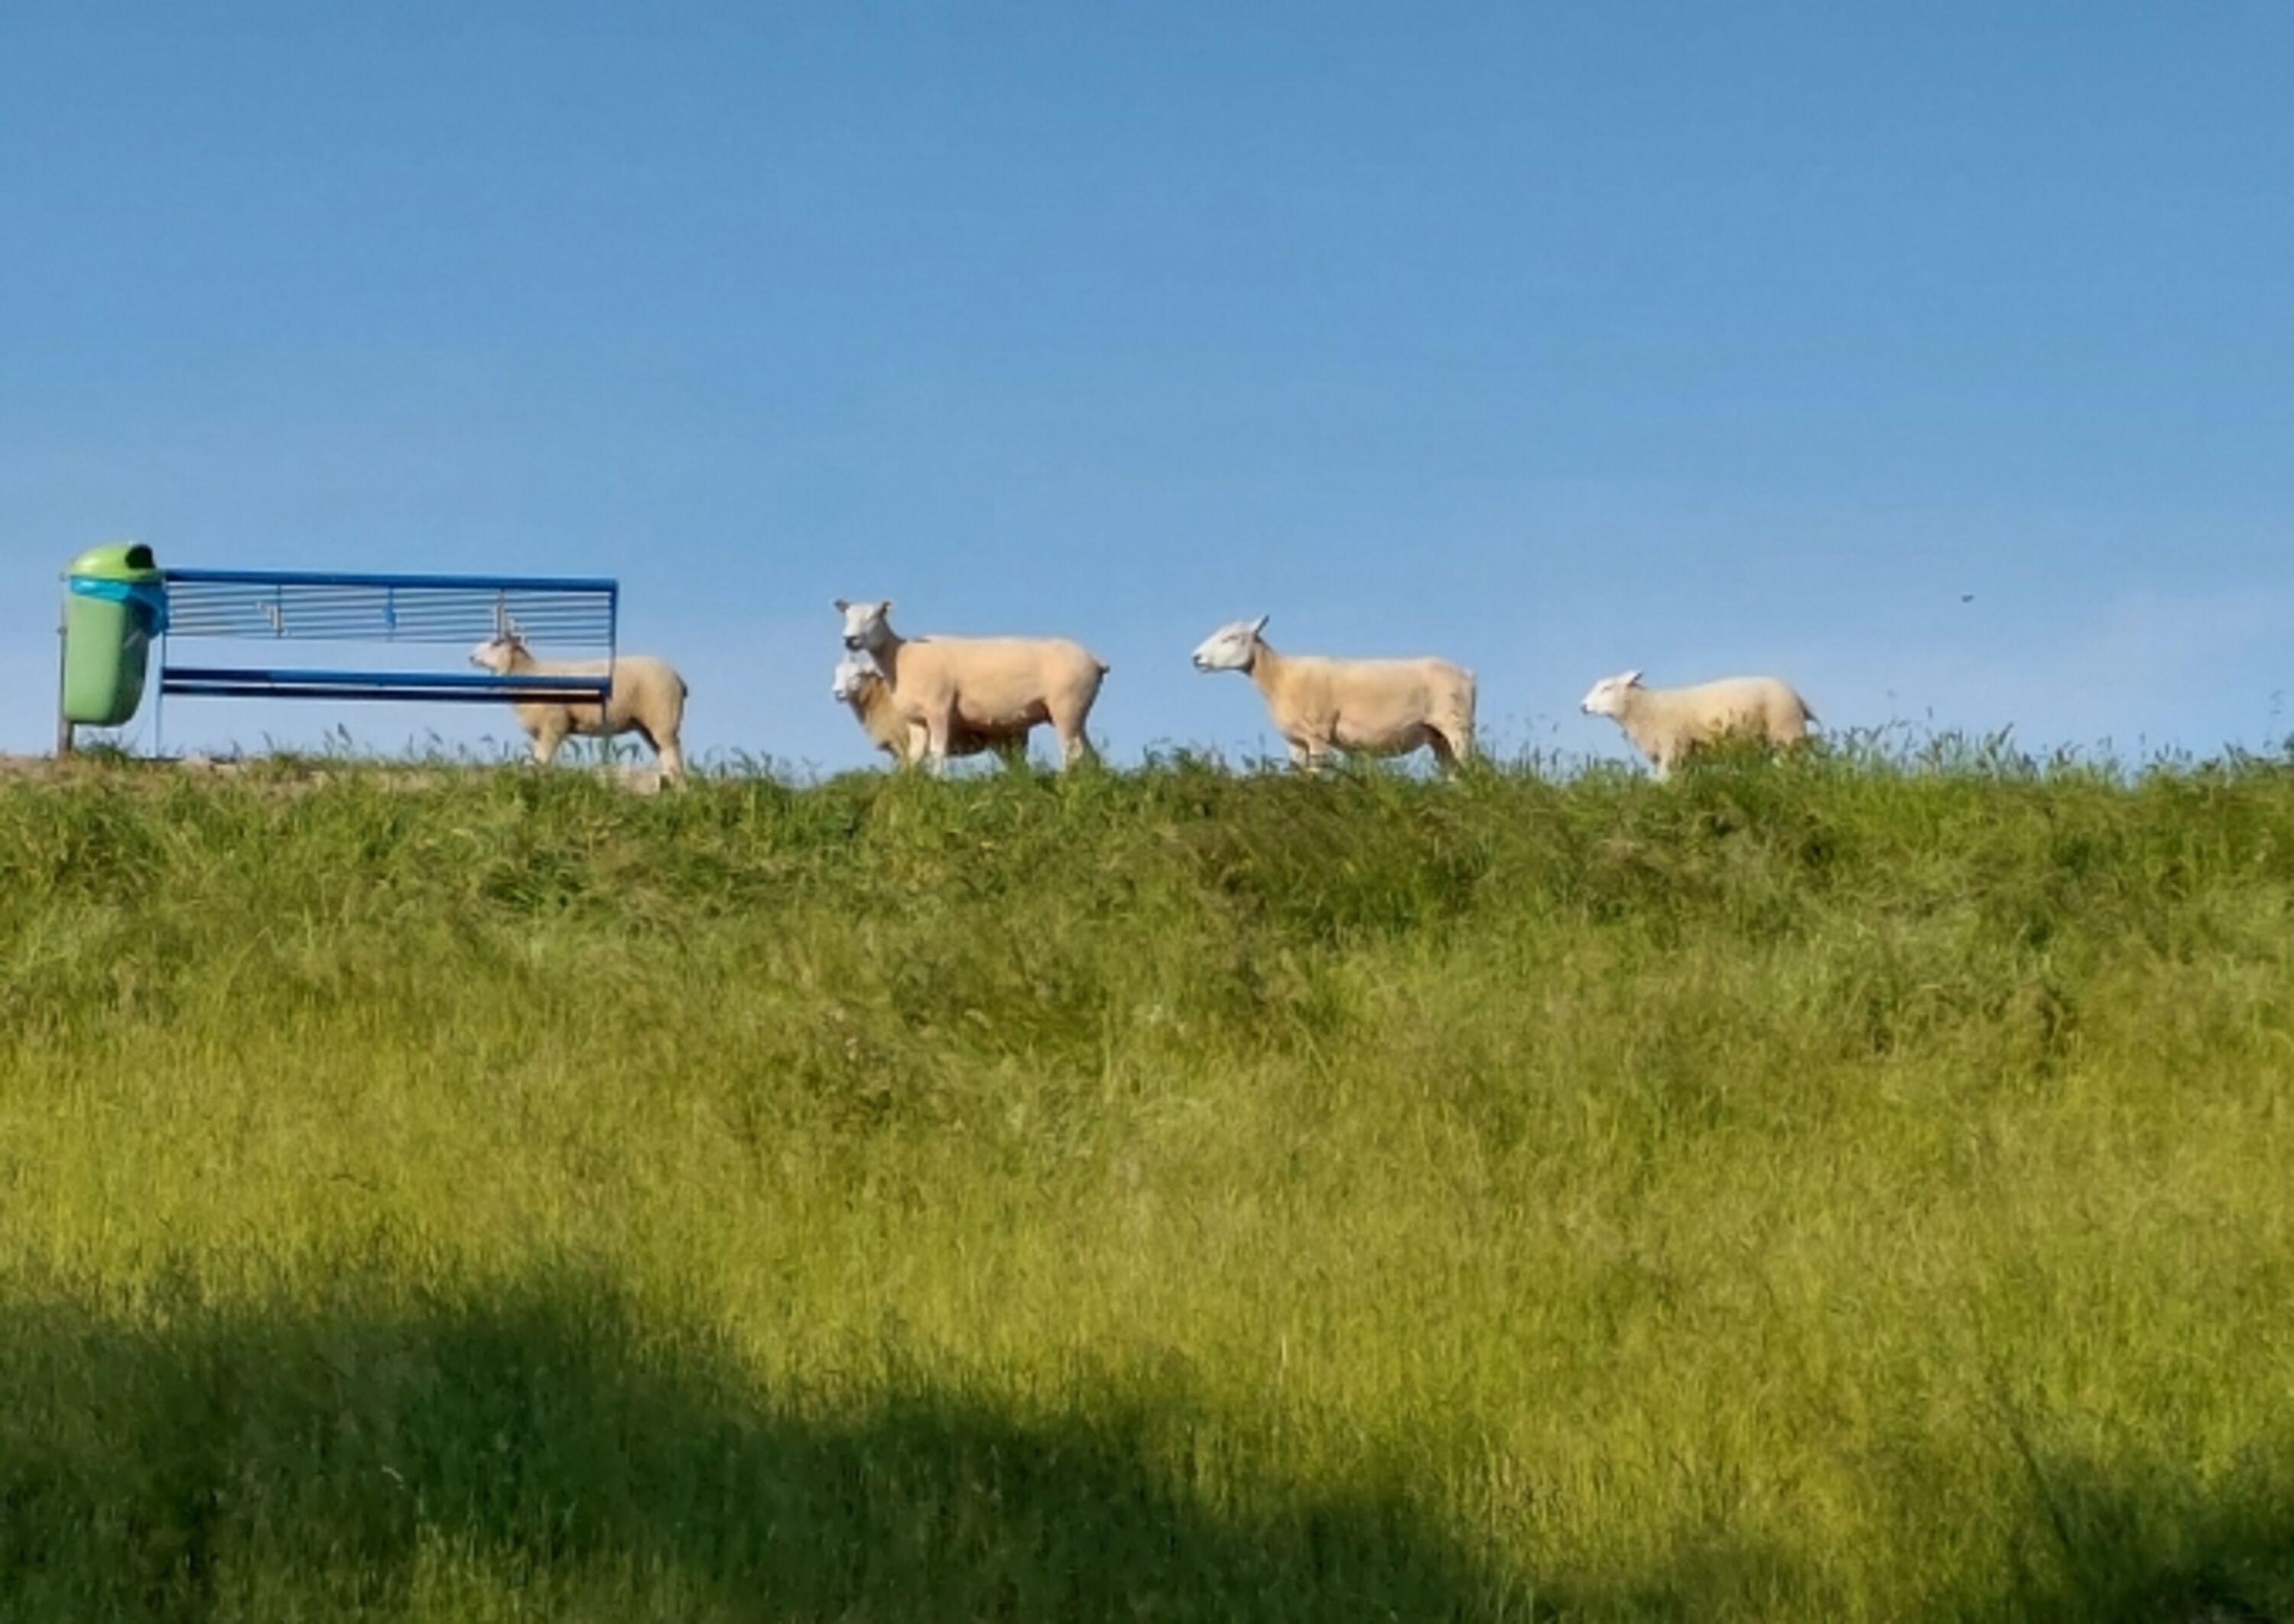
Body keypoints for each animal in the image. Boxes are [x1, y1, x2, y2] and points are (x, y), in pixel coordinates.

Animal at [468, 632, 689, 780]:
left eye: (496, 643)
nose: (470, 656)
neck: (529, 673)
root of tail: (677, 677)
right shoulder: (539, 731)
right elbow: (536, 760)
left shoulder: (555, 724)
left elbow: (543, 759)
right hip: (648, 725)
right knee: (664, 753)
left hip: (663, 716)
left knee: (674, 755)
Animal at [831, 652, 1030, 767]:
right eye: (836, 673)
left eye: (859, 675)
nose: (837, 693)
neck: (880, 700)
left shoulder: (903, 745)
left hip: (1011, 741)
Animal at [1189, 614, 1476, 772]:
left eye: (1232, 638)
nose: (1196, 658)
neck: (1281, 677)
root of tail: (1467, 673)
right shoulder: (1296, 741)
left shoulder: (1318, 736)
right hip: (1437, 736)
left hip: (1458, 727)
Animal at [1578, 668, 1815, 778]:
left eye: (1607, 688)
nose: (1582, 706)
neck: (1647, 708)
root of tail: (1797, 696)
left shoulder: (1673, 747)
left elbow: (1662, 781)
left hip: (1787, 730)